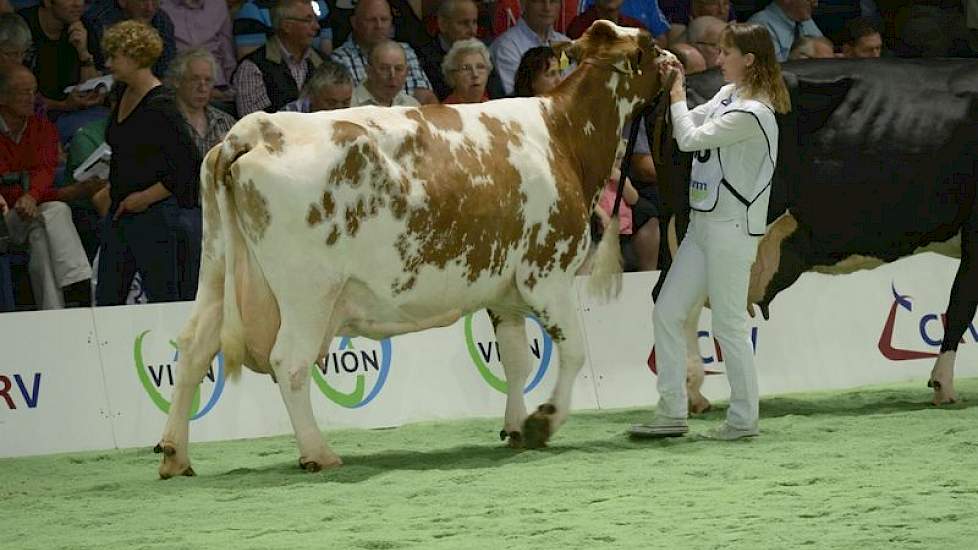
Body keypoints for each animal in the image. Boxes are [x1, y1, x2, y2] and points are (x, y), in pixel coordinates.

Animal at [154, 21, 672, 478]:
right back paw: (318, 453)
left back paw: (175, 455)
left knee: (193, 348)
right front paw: (543, 422)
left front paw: (514, 427)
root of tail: (254, 129)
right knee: (290, 362)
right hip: (308, 292)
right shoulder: (547, 273)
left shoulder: (503, 291)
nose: (675, 60)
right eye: (649, 44)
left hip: (218, 270)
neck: (562, 133)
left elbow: (516, 361)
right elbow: (575, 352)